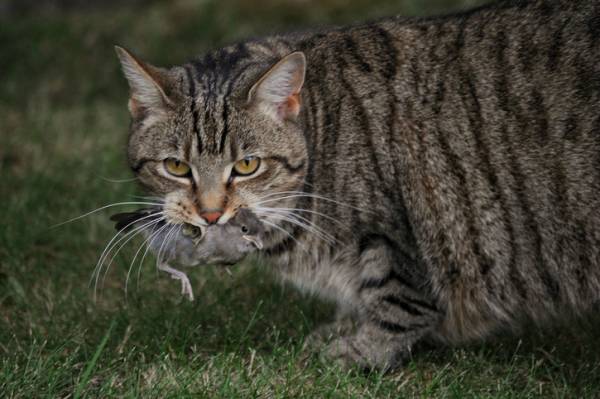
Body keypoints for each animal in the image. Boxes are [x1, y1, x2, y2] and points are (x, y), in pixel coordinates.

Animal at [109, 209, 264, 300]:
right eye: (244, 229)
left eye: (261, 228)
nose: (261, 244)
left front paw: (223, 268)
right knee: (161, 265)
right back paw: (181, 277)